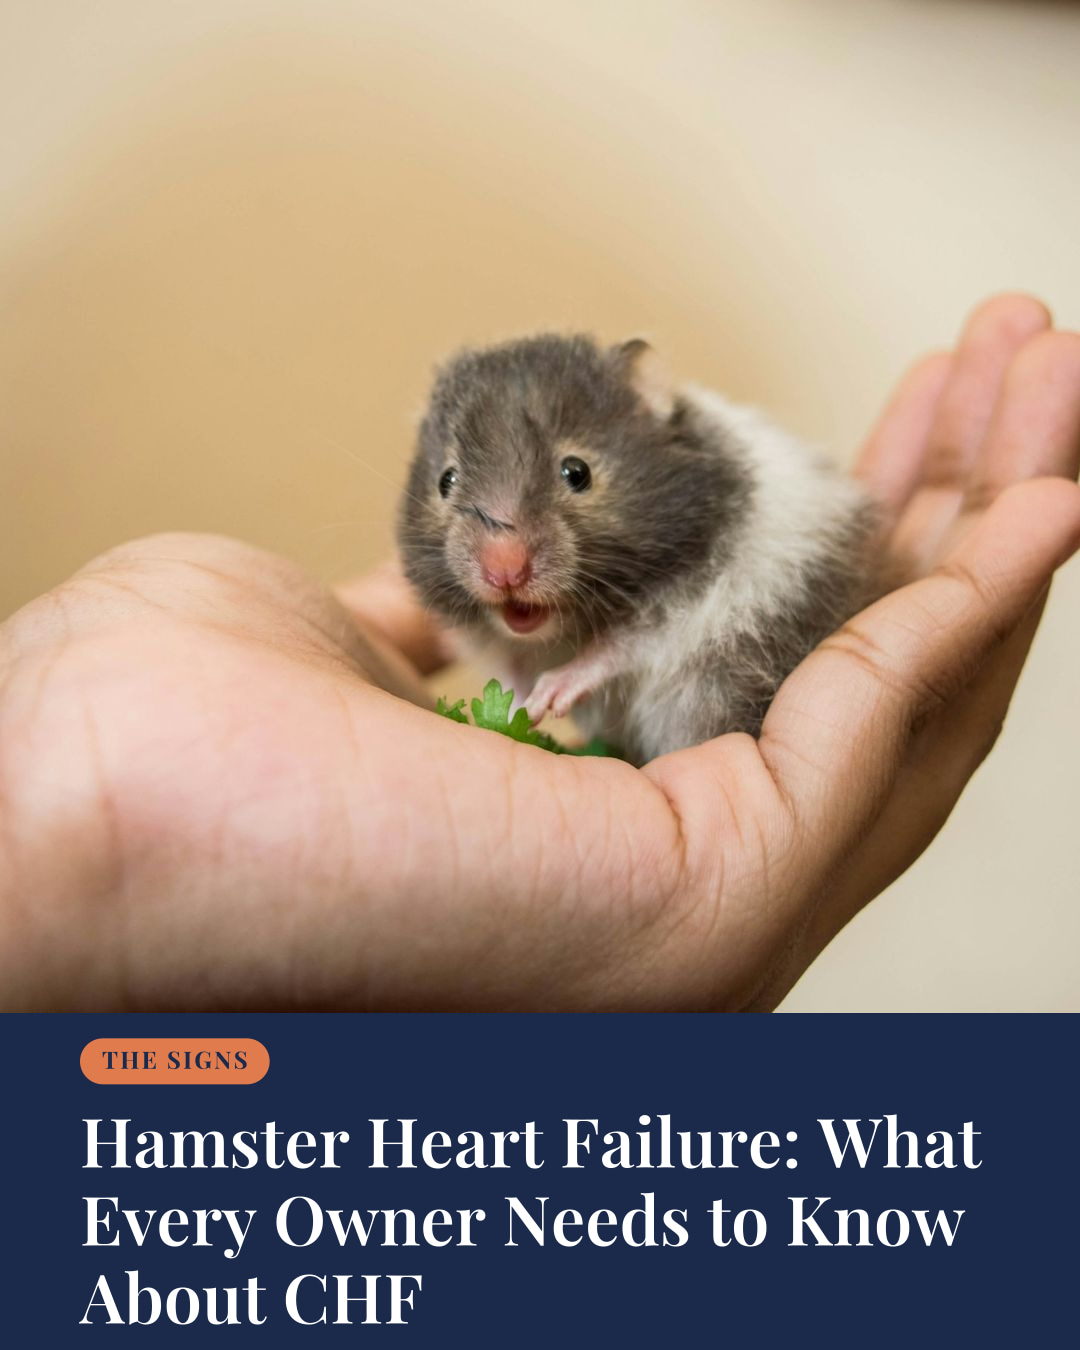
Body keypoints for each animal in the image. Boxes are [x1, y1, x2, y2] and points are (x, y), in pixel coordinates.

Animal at [398, 333, 880, 766]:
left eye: (577, 472)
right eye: (446, 481)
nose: (503, 571)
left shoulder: (686, 603)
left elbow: (616, 648)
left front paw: (550, 695)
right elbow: (510, 667)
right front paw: (521, 708)